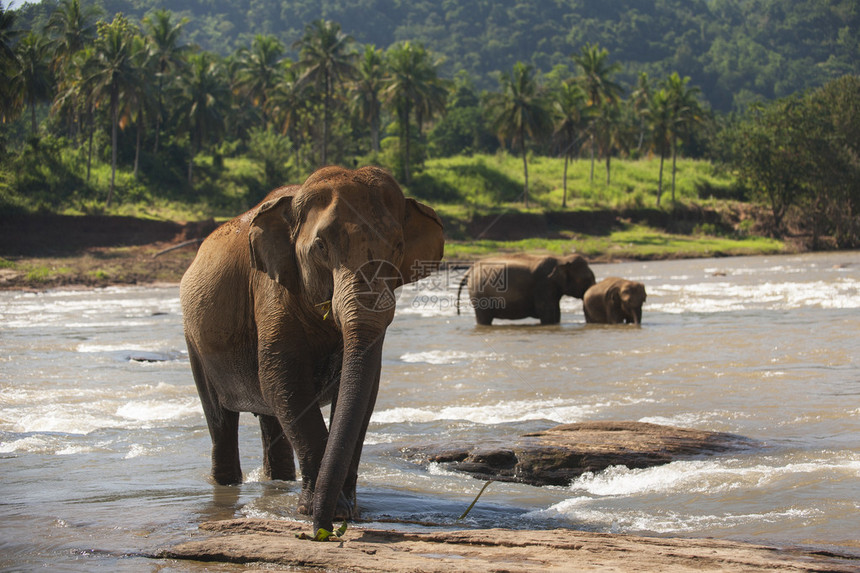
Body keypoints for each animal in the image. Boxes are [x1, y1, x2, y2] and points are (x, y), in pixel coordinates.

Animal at [177, 166, 440, 536]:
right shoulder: (270, 289)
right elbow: (285, 382)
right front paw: (317, 510)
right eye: (321, 247)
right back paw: (228, 484)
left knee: (270, 417)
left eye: (398, 246)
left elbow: (363, 392)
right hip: (194, 338)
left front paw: (346, 510)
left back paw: (279, 481)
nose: (326, 531)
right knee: (221, 418)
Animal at [454, 254, 596, 324]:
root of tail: (469, 270)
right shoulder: (543, 284)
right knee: (484, 318)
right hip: (480, 294)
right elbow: (547, 312)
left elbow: (556, 312)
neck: (561, 260)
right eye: (587, 280)